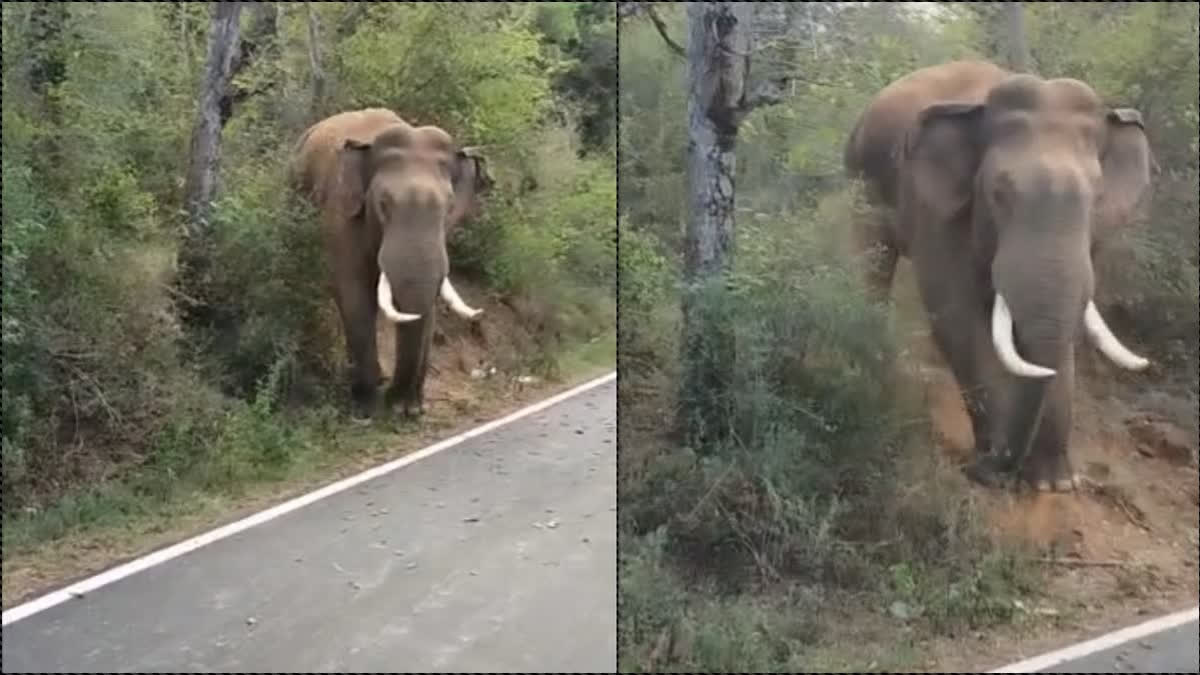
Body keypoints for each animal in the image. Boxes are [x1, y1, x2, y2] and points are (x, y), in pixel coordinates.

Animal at [291, 108, 494, 419]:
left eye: (448, 208)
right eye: (383, 205)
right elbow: (353, 291)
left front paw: (410, 409)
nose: (396, 405)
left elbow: (427, 303)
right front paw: (365, 409)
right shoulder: (341, 213)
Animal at [843, 61, 1156, 492]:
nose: (993, 466)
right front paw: (990, 471)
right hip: (862, 173)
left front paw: (1054, 483)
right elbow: (956, 316)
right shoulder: (937, 207)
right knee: (872, 255)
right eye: (998, 194)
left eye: (1096, 199)